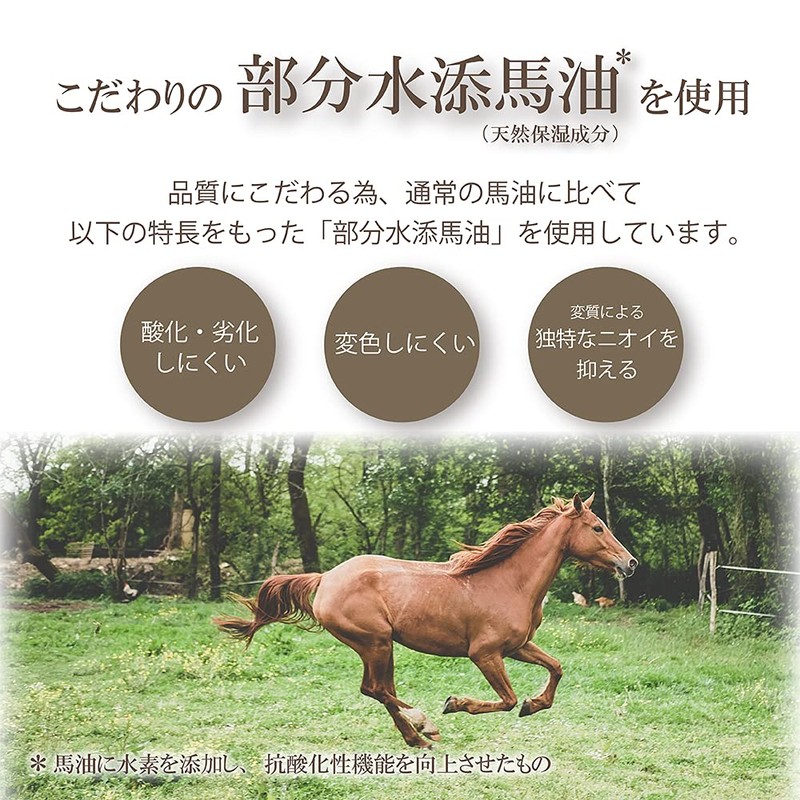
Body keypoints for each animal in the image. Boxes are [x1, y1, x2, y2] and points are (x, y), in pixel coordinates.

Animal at [213, 492, 637, 749]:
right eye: (597, 527)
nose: (630, 563)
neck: (509, 582)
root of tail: (325, 578)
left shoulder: (517, 647)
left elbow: (556, 667)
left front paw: (535, 705)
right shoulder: (485, 654)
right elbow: (506, 699)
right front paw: (456, 703)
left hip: (379, 647)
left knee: (378, 689)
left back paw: (416, 738)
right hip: (375, 642)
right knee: (376, 689)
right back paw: (424, 724)